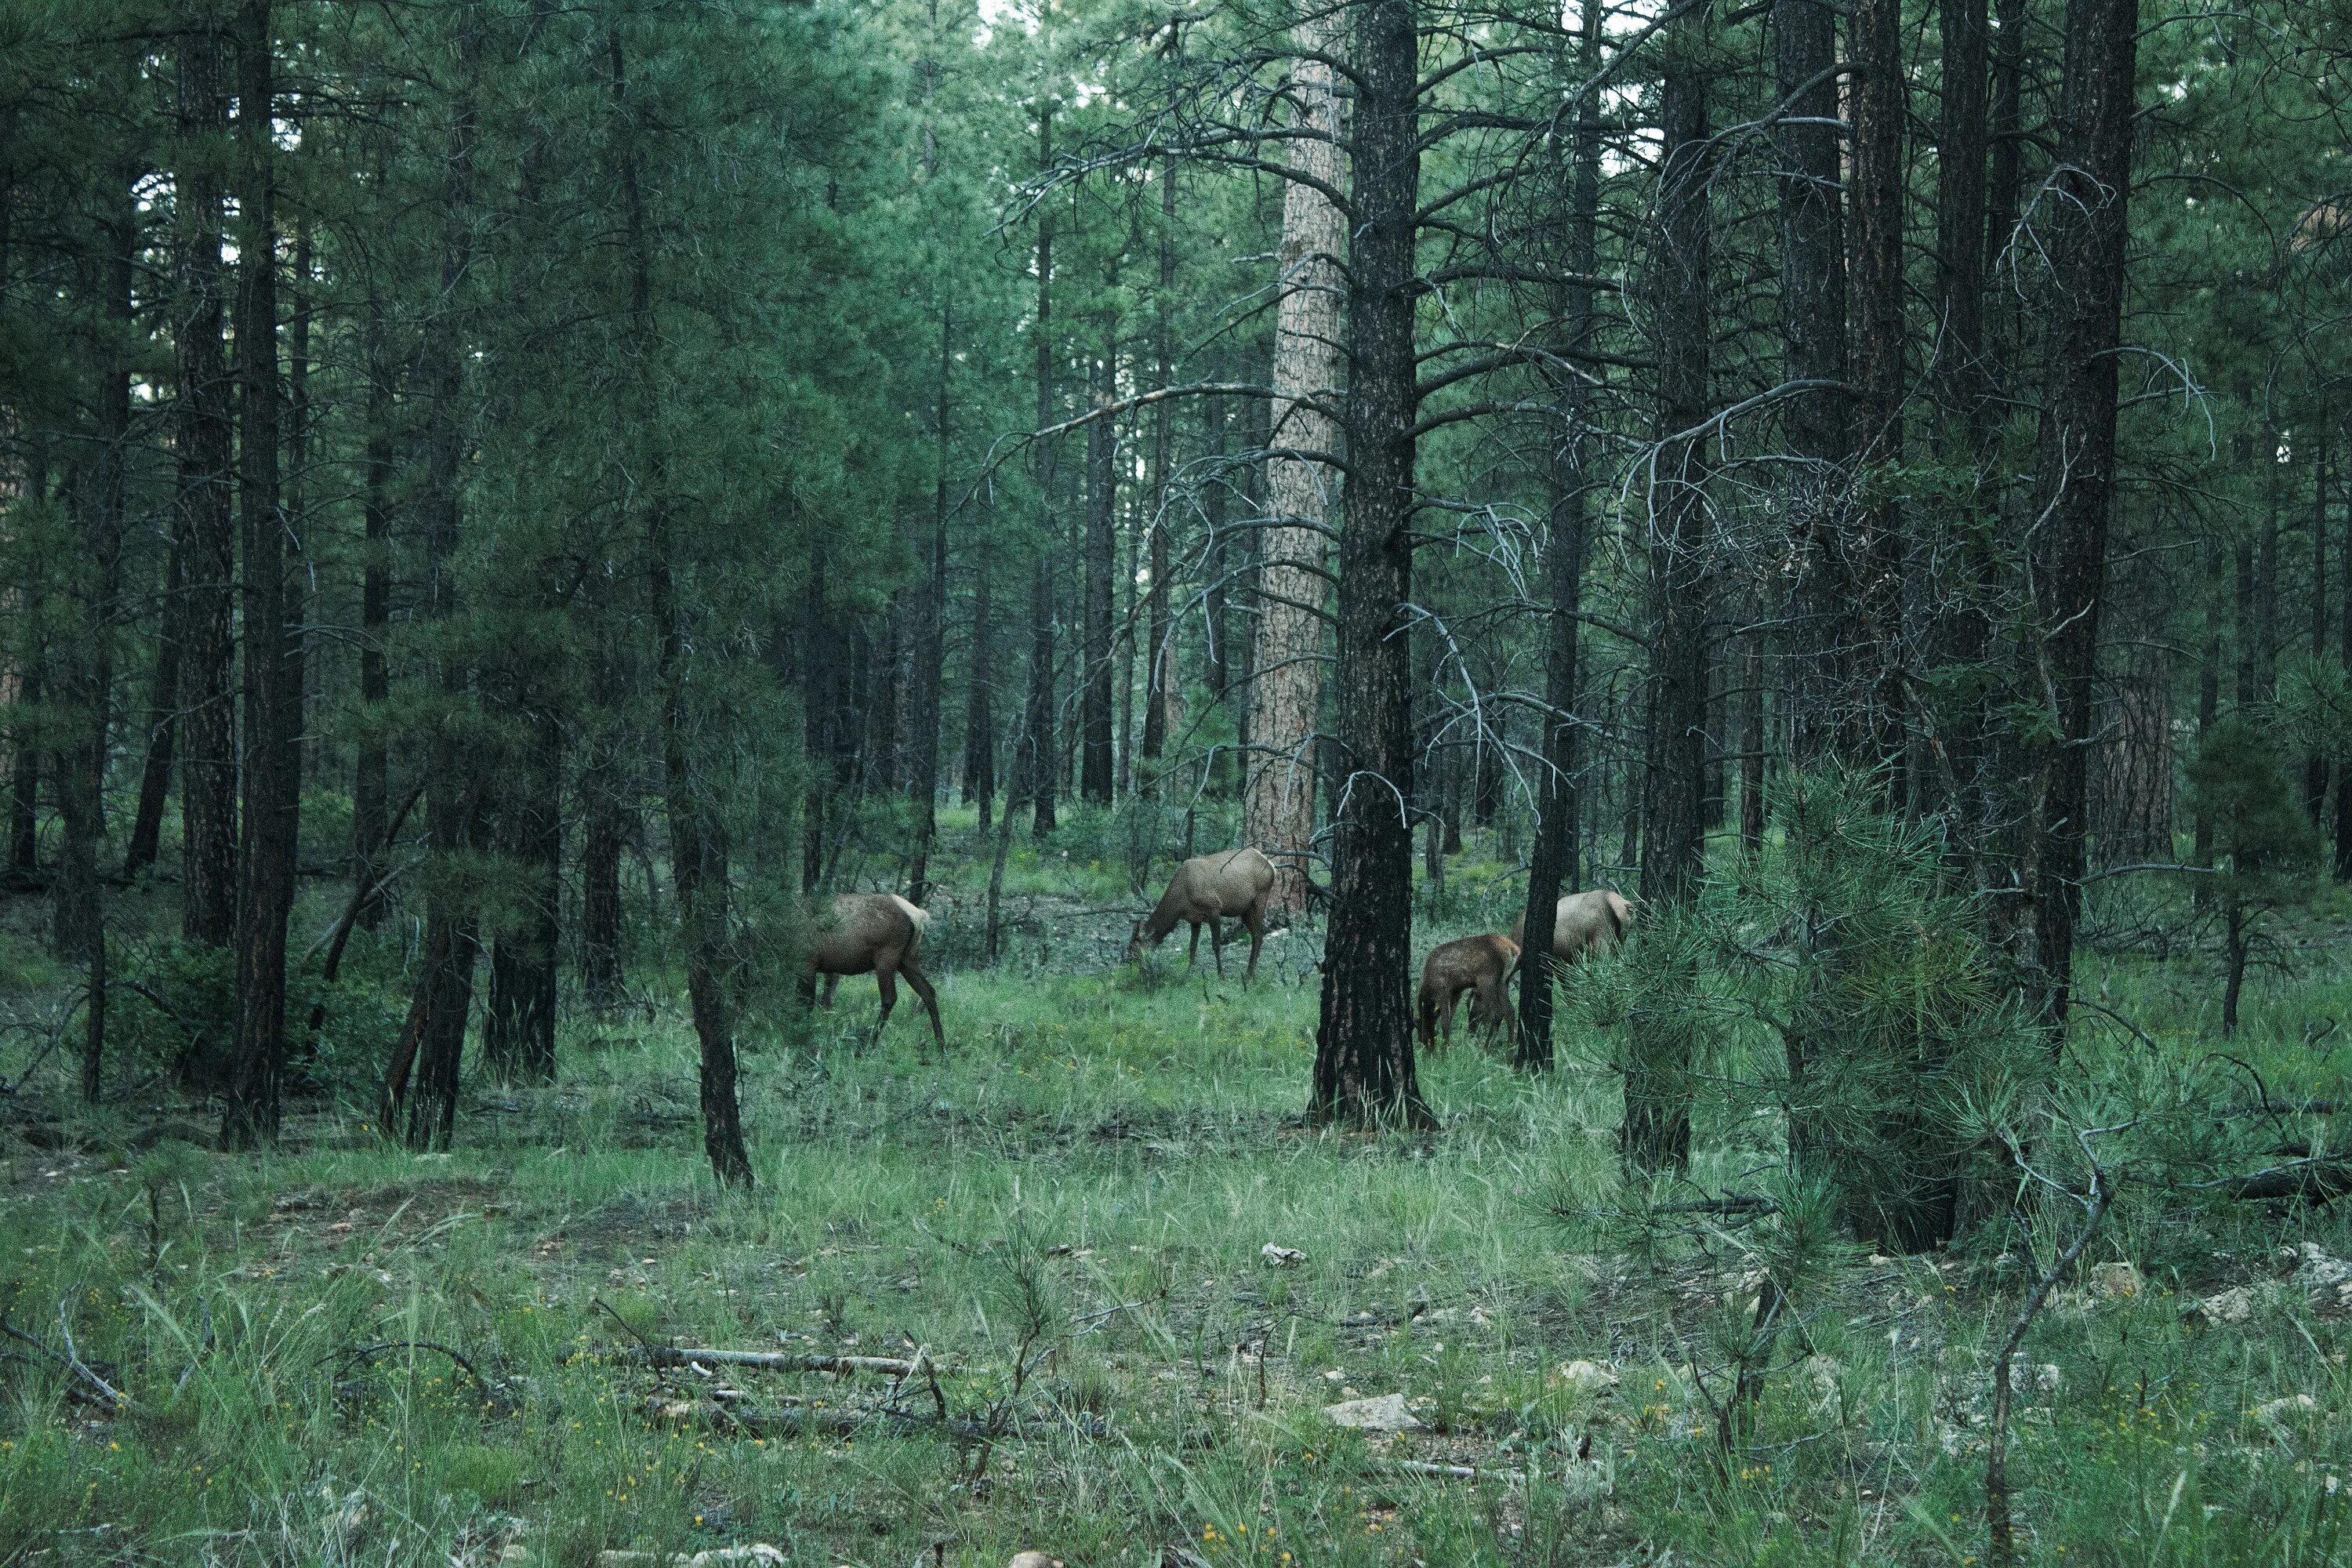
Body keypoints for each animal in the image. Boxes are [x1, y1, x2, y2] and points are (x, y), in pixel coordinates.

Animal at [814, 888, 941, 1048]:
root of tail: (918, 915)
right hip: (908, 959)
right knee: (928, 991)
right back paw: (941, 1046)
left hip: (886, 958)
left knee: (889, 998)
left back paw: (869, 1043)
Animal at [1129, 851, 1279, 973]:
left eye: (1136, 942)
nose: (1129, 959)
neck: (1180, 904)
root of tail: (1272, 867)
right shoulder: (1194, 919)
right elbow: (1192, 947)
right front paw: (1187, 974)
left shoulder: (1214, 908)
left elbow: (1216, 945)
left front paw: (1221, 975)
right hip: (1245, 910)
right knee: (1256, 935)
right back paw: (1250, 970)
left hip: (1260, 898)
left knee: (1259, 934)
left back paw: (1251, 974)